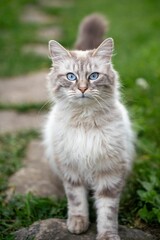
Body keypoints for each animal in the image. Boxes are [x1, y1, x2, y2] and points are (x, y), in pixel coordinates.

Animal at [43, 14, 134, 240]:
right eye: (71, 77)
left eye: (93, 76)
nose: (83, 89)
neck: (85, 122)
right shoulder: (71, 170)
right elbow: (77, 202)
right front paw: (77, 225)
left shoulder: (110, 173)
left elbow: (107, 213)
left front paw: (107, 236)